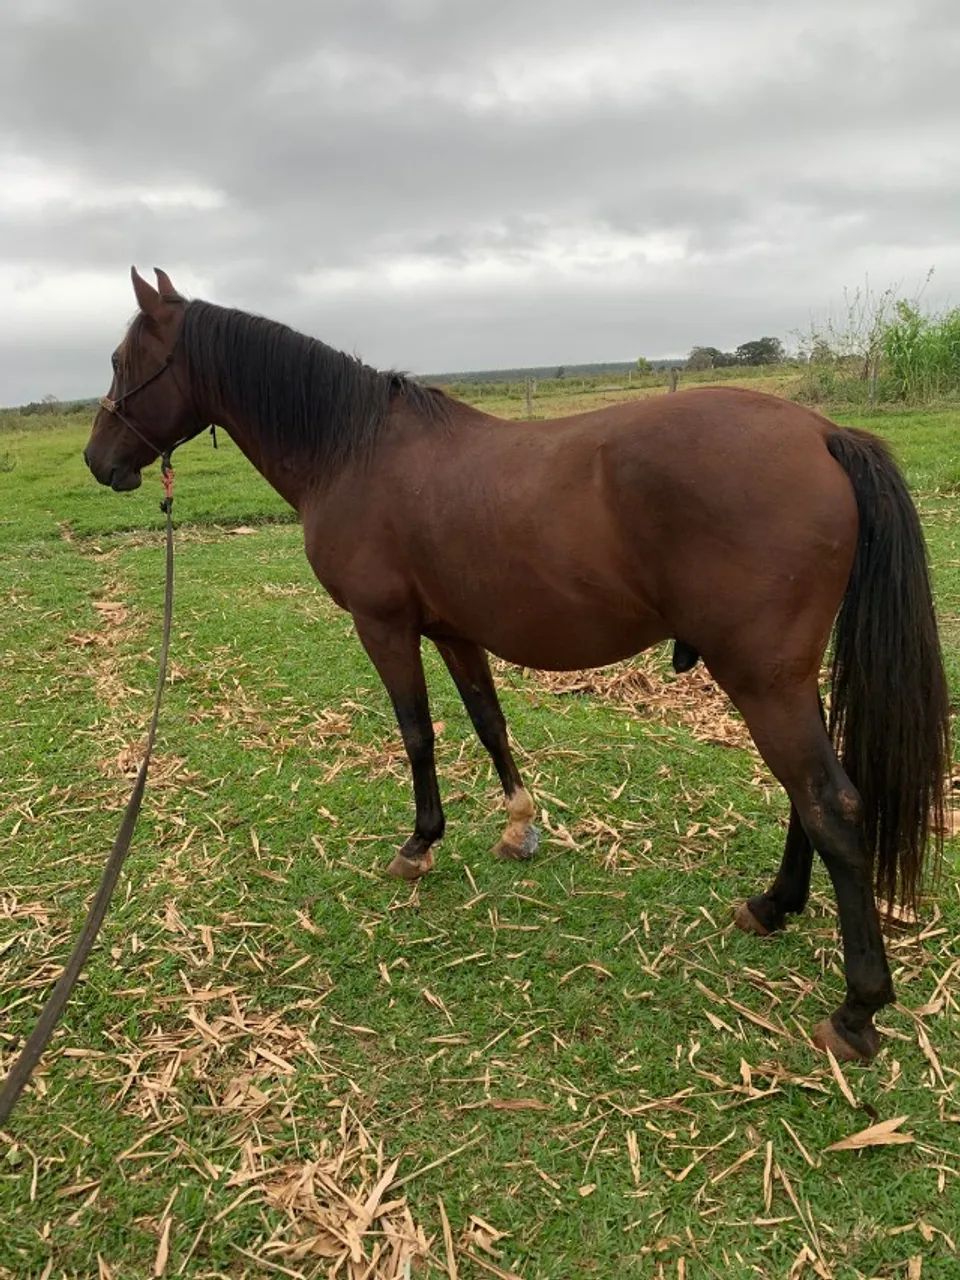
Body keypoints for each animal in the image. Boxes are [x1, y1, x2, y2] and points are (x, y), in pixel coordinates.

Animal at [83, 267, 950, 1064]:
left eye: (126, 360)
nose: (97, 461)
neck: (352, 451)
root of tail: (821, 433)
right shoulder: (454, 631)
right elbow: (487, 721)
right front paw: (519, 825)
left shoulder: (384, 628)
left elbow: (418, 735)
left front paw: (419, 844)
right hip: (781, 679)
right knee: (806, 797)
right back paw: (771, 907)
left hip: (761, 679)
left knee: (830, 803)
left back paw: (856, 1009)